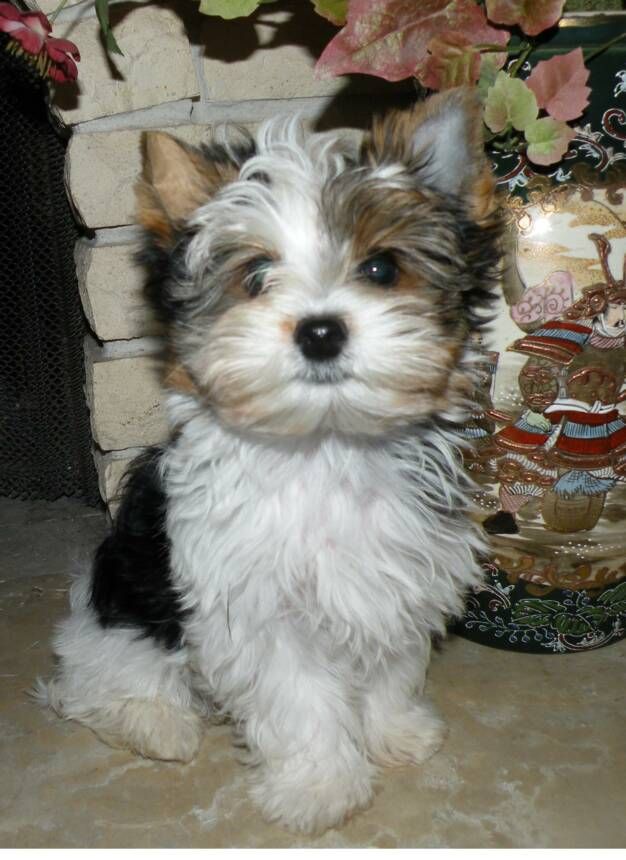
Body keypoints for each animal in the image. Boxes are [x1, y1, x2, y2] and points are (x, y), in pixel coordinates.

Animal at [41, 87, 502, 832]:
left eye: (381, 268)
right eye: (256, 274)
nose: (320, 331)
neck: (324, 445)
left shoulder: (397, 574)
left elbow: (391, 661)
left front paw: (395, 730)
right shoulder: (255, 608)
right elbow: (300, 698)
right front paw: (320, 786)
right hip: (124, 608)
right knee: (98, 677)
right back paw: (155, 723)